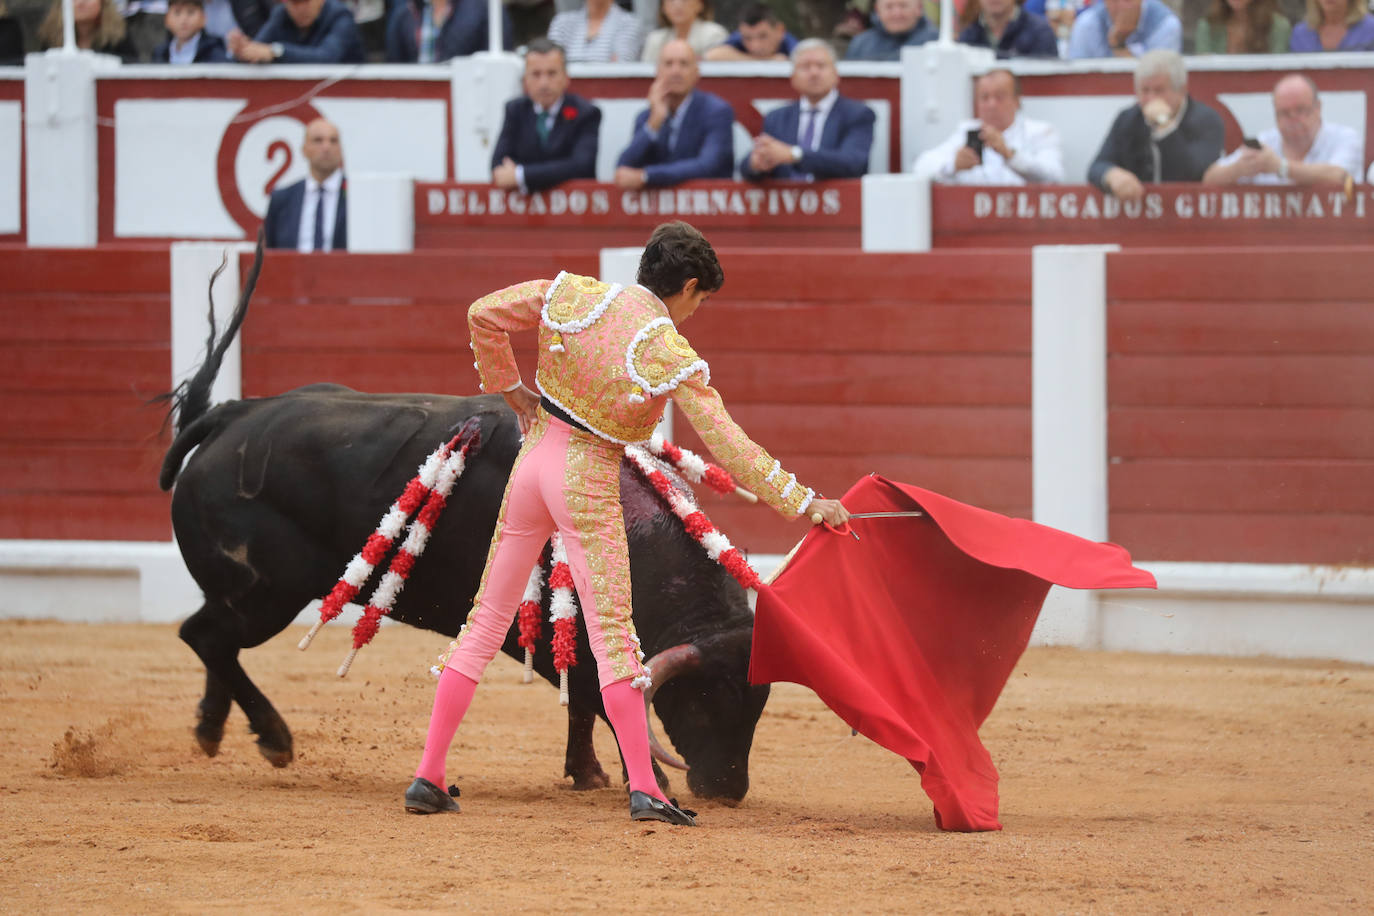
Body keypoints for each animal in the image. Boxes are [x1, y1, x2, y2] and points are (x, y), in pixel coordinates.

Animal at [160, 265, 774, 802]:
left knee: (213, 639)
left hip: (250, 595)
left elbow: (585, 699)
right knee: (205, 635)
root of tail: (233, 415)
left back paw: (212, 729)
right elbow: (597, 695)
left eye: (759, 699)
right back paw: (274, 737)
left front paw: (589, 773)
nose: (728, 788)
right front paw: (641, 778)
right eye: (709, 698)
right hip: (265, 594)